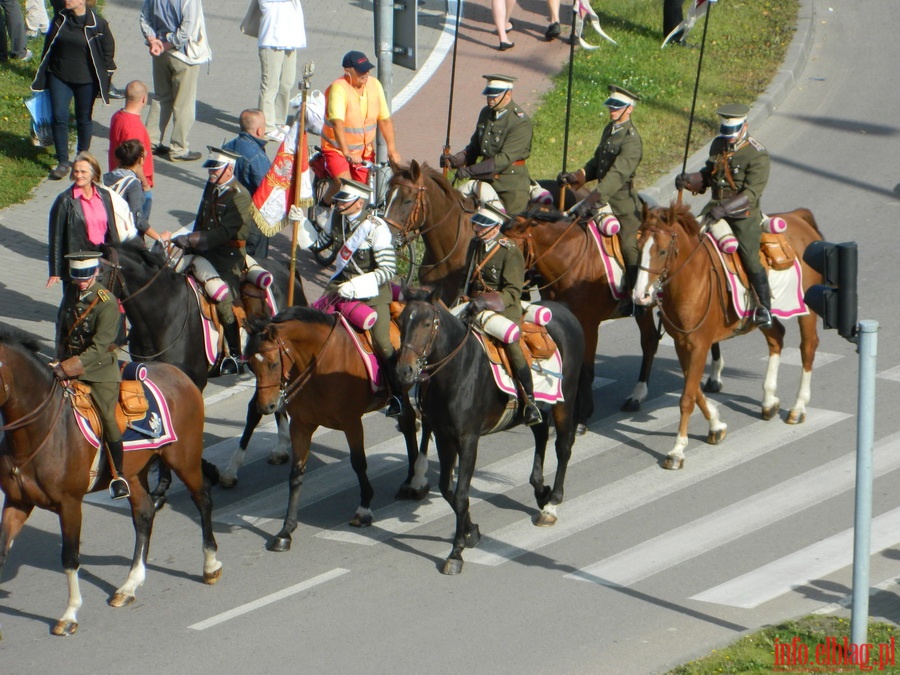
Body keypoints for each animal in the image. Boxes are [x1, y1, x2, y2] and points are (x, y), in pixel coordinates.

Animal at [0, 330, 221, 636]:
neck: (38, 431)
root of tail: (176, 372)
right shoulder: (17, 502)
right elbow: (1, 552)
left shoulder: (69, 505)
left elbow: (70, 558)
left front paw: (69, 614)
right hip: (134, 474)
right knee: (144, 515)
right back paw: (130, 585)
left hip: (183, 458)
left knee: (202, 499)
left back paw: (210, 565)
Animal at [104, 243, 308, 502]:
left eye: (97, 273)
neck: (164, 313)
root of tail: (284, 268)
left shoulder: (192, 381)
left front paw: (172, 482)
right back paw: (280, 447)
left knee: (256, 408)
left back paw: (232, 470)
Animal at [244, 308, 428, 556]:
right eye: (251, 366)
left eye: (273, 364)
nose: (266, 407)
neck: (318, 366)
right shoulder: (300, 426)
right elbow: (296, 474)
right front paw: (286, 531)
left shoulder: (352, 423)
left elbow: (358, 463)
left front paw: (364, 509)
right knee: (407, 422)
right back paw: (411, 479)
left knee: (409, 422)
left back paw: (414, 482)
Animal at [394, 288, 584, 580]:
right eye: (401, 322)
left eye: (426, 323)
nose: (404, 371)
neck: (456, 370)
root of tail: (564, 310)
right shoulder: (444, 437)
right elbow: (448, 490)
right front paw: (471, 533)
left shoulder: (468, 440)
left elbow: (461, 495)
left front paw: (456, 553)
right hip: (535, 408)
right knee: (541, 433)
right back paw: (541, 490)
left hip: (565, 400)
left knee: (563, 446)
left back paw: (551, 504)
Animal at [632, 203, 824, 472]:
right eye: (637, 247)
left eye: (661, 250)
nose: (640, 296)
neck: (693, 278)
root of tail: (797, 217)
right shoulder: (682, 344)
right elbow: (694, 390)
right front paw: (716, 425)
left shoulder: (699, 345)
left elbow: (687, 398)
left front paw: (677, 450)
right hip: (760, 318)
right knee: (777, 337)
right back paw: (768, 400)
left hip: (808, 310)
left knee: (807, 348)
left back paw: (798, 407)